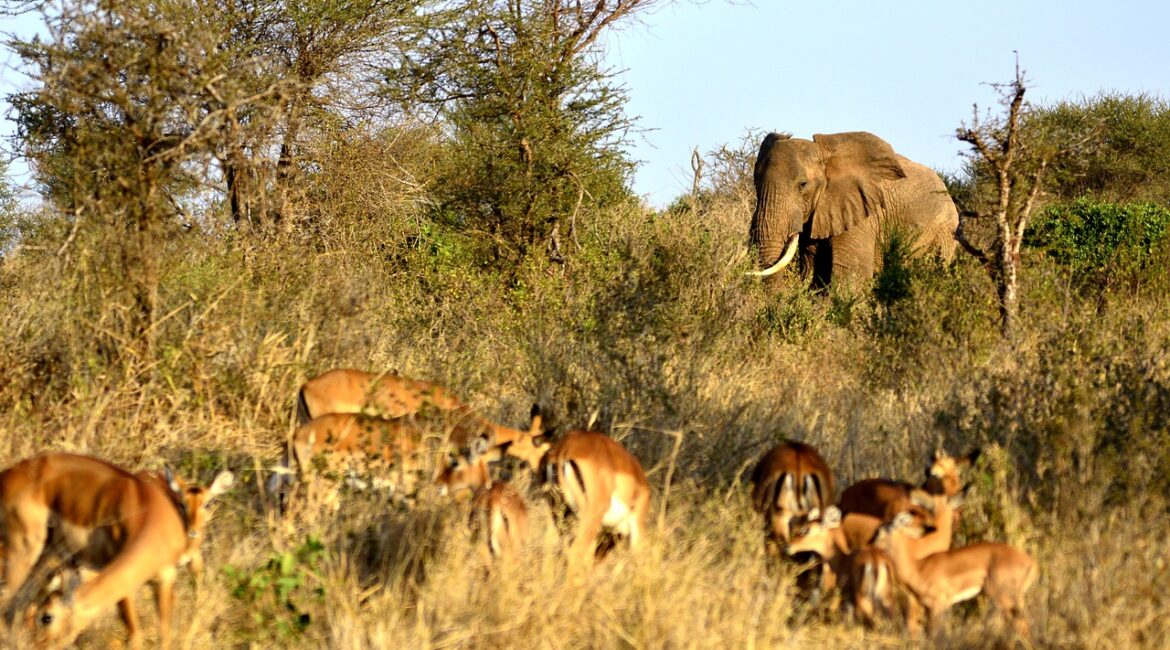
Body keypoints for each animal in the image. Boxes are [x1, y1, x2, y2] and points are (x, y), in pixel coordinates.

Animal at [0, 453, 233, 649]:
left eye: (47, 616)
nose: (38, 645)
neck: (150, 519)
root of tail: (7, 475)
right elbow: (135, 634)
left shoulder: (165, 577)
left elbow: (163, 633)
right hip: (25, 549)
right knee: (9, 602)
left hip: (46, 552)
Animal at [747, 131, 958, 288]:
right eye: (756, 182)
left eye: (803, 185)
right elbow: (815, 273)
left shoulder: (862, 214)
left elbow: (850, 276)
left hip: (944, 233)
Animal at [871, 511, 1037, 639]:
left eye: (879, 531)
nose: (869, 543)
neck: (919, 567)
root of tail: (1031, 562)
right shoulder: (929, 608)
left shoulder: (938, 606)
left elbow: (935, 636)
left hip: (1002, 597)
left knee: (1022, 626)